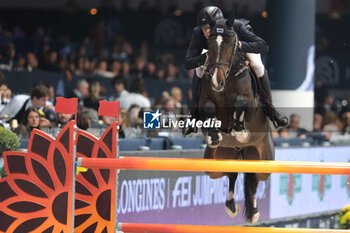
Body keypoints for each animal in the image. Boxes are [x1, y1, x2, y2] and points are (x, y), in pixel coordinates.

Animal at [198, 17, 274, 222]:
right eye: (209, 44)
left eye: (232, 43)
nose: (217, 81)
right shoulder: (207, 99)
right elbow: (208, 107)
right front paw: (214, 135)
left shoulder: (250, 104)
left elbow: (240, 102)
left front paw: (240, 131)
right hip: (216, 163)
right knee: (231, 173)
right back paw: (231, 206)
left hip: (264, 160)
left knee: (255, 175)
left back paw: (254, 212)